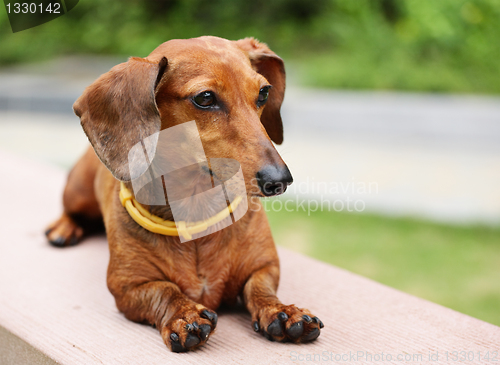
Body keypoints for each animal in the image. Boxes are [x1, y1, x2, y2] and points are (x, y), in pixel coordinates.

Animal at [45, 36, 322, 350]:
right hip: (77, 192)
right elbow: (164, 290)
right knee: (71, 211)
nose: (279, 180)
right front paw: (183, 314)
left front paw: (282, 311)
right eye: (205, 98)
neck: (195, 205)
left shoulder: (263, 266)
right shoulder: (127, 285)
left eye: (263, 93)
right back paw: (63, 228)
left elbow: (260, 287)